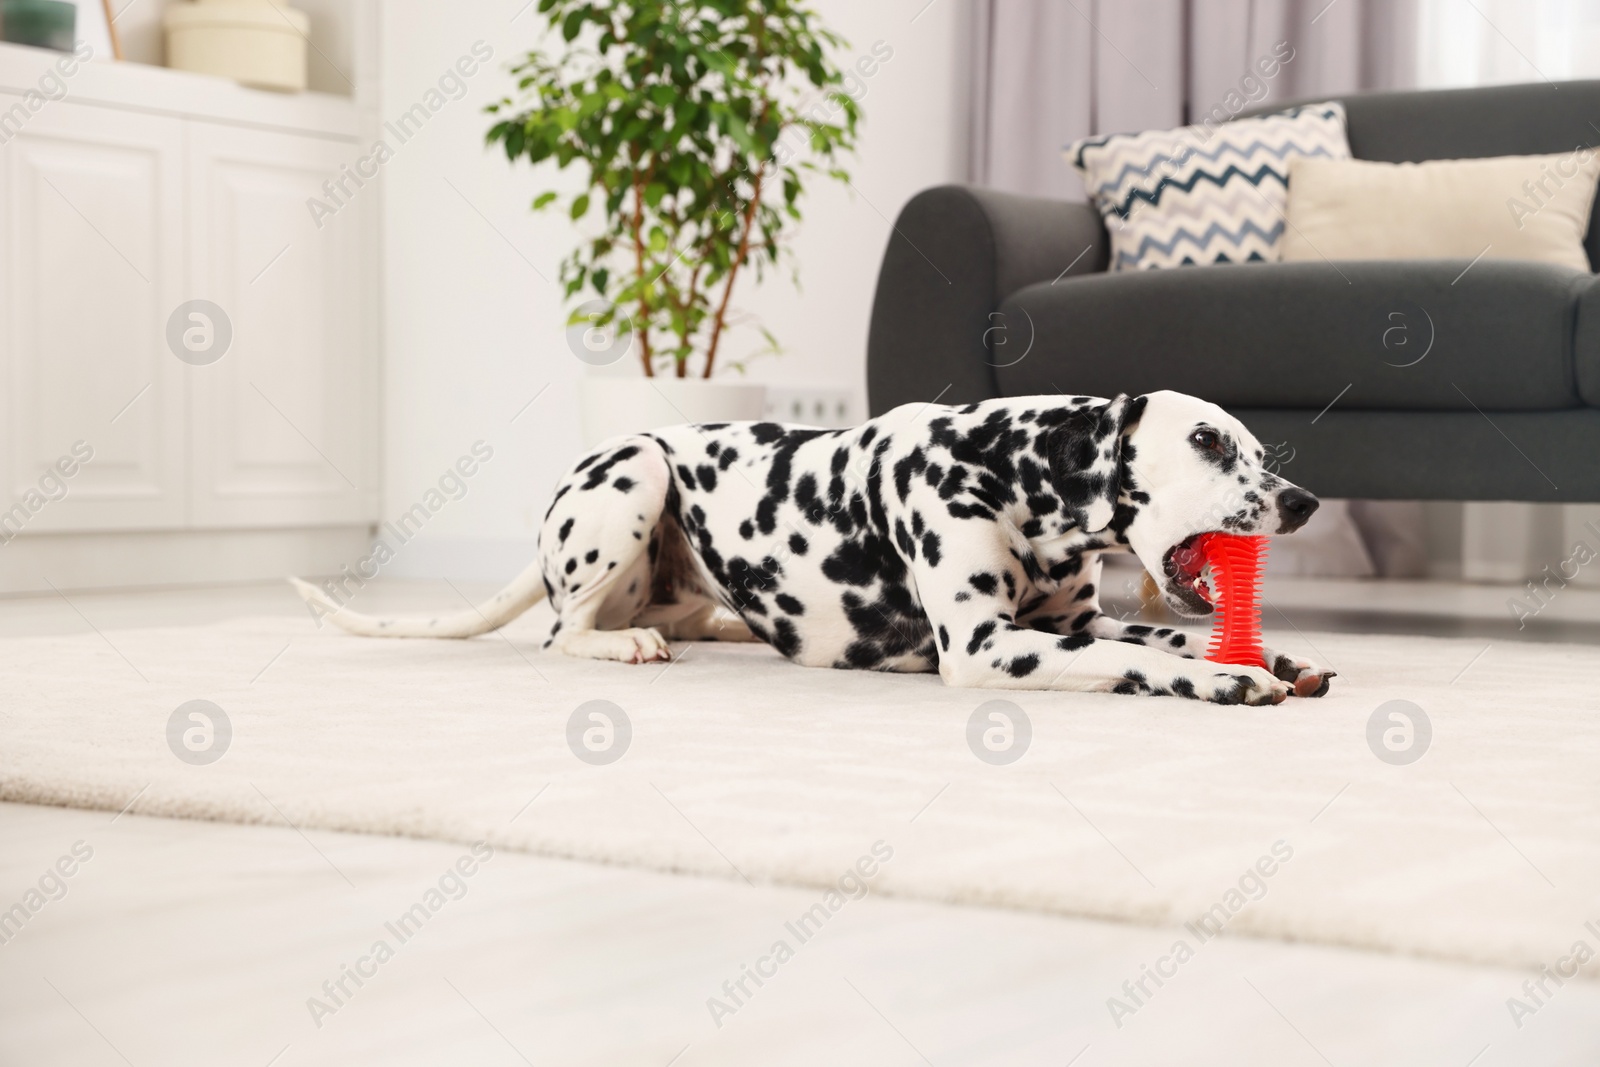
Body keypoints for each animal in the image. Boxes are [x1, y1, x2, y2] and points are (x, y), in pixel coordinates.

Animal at [294, 388, 1331, 703]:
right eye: (1209, 441)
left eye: (1255, 448)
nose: (1306, 498)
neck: (1009, 468)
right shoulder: (987, 645)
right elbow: (1158, 660)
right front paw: (1227, 676)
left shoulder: (1081, 620)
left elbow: (1167, 633)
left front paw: (1277, 654)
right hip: (636, 471)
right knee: (561, 632)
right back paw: (621, 644)